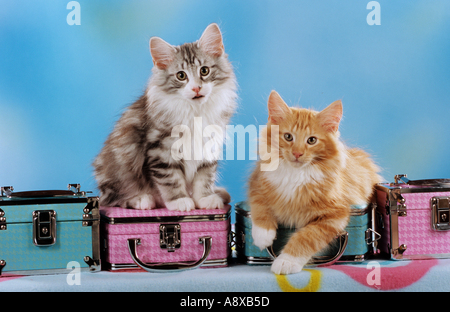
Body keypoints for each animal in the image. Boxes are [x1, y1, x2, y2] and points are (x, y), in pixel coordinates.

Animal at [93, 23, 237, 211]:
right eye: (181, 75)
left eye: (204, 71)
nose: (196, 88)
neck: (195, 111)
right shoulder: (161, 151)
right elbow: (171, 180)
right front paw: (180, 201)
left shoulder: (209, 148)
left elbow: (204, 178)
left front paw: (205, 198)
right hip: (117, 173)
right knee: (111, 199)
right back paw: (142, 199)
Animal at [248, 89, 382, 272]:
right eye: (288, 137)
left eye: (311, 140)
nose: (297, 153)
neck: (296, 174)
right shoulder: (256, 180)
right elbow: (259, 204)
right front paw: (263, 234)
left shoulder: (334, 214)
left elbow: (305, 237)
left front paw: (286, 261)